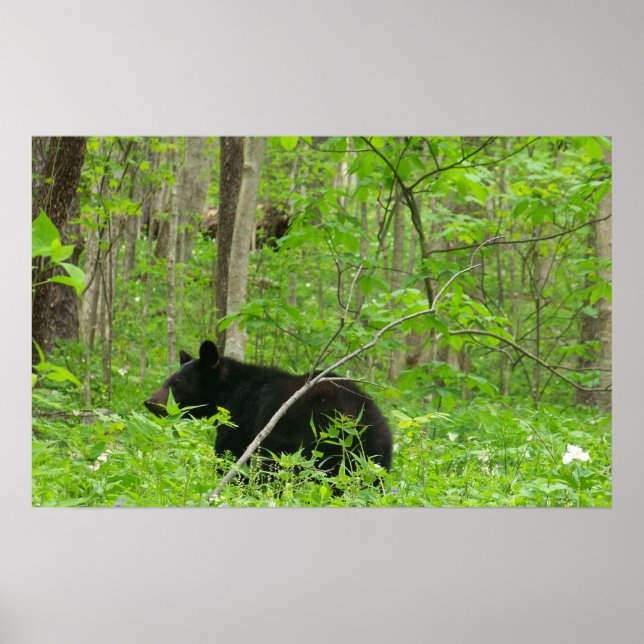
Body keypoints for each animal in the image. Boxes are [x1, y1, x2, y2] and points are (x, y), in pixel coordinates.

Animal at [144, 340, 393, 475]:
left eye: (176, 383)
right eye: (167, 380)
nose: (149, 401)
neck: (230, 390)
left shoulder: (241, 422)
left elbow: (231, 457)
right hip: (375, 459)